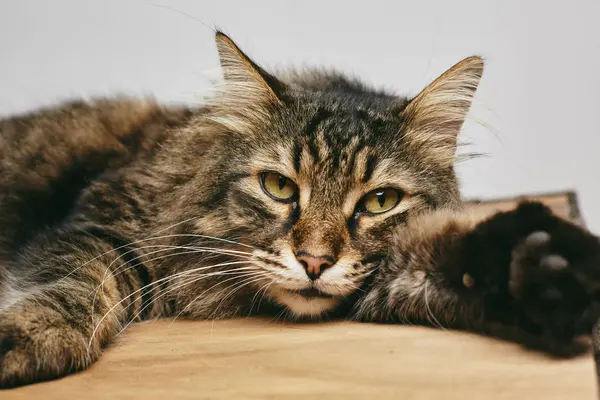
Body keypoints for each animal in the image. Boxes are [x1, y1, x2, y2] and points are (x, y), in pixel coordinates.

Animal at [1, 31, 600, 388]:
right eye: (279, 188)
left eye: (380, 201)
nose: (314, 262)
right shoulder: (102, 223)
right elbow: (76, 284)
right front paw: (26, 338)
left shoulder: (384, 278)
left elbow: (456, 259)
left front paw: (552, 274)